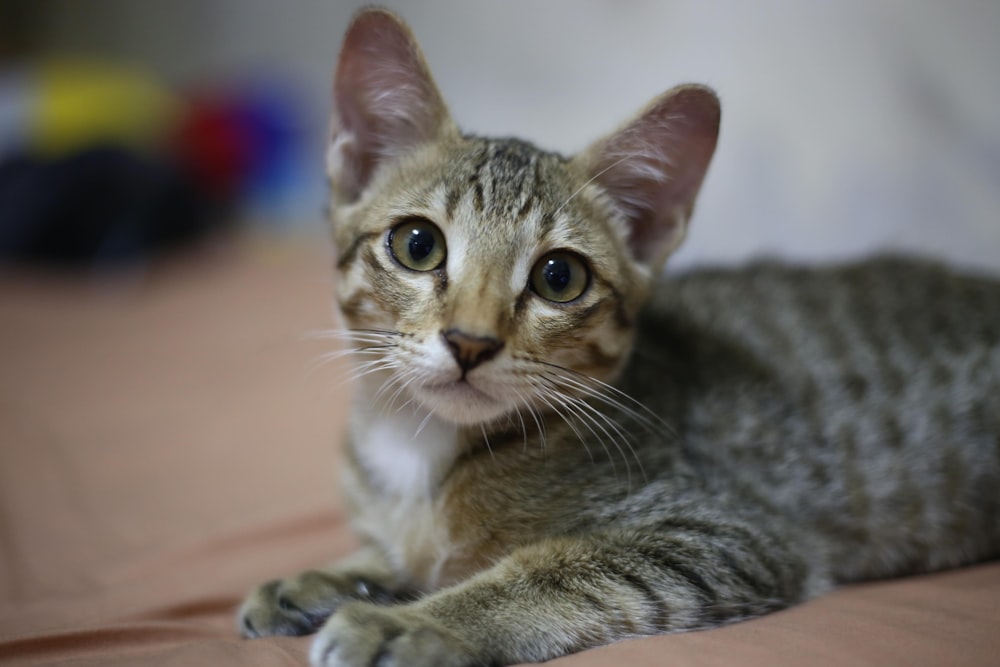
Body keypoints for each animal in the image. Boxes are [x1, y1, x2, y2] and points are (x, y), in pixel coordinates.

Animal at [240, 6, 1000, 667]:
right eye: (418, 244)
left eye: (558, 277)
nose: (471, 341)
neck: (422, 451)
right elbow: (401, 554)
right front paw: (330, 574)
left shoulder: (722, 532)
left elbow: (550, 568)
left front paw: (415, 621)